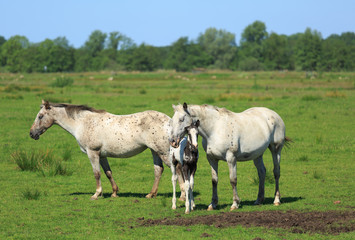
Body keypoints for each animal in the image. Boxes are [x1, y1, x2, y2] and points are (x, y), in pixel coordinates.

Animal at [30, 100, 185, 201]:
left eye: (40, 116)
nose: (32, 134)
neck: (83, 123)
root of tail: (170, 121)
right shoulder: (102, 155)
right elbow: (108, 173)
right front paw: (114, 192)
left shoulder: (92, 153)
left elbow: (97, 174)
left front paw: (96, 194)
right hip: (155, 151)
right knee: (158, 171)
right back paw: (151, 194)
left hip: (163, 152)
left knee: (177, 169)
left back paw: (183, 196)